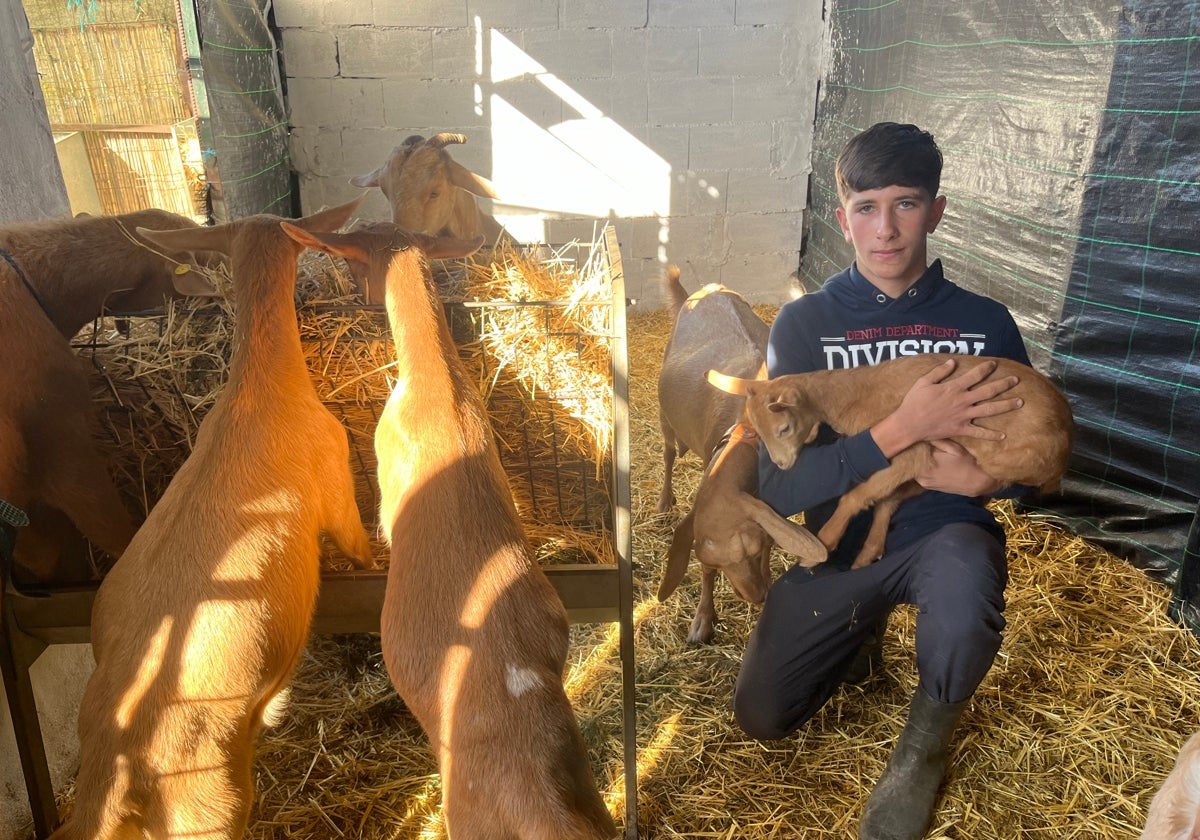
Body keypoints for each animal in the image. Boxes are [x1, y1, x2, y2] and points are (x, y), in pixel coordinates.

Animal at [657, 268, 825, 643]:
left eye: (754, 550)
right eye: (715, 560)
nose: (758, 595)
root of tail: (707, 289)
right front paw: (703, 620)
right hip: (665, 417)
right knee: (669, 453)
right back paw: (663, 502)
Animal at [705, 355, 1075, 571]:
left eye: (784, 428)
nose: (781, 466)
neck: (853, 394)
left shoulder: (913, 451)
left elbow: (855, 495)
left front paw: (824, 542)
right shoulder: (910, 457)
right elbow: (879, 496)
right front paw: (858, 550)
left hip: (998, 459)